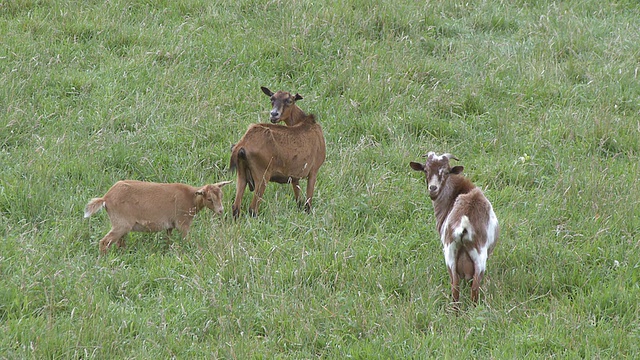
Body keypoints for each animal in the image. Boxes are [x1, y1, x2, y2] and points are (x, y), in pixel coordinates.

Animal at [84, 179, 231, 253]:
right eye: (210, 199)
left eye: (221, 195)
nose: (221, 211)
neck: (191, 198)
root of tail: (105, 198)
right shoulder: (183, 222)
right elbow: (186, 239)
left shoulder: (170, 226)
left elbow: (168, 239)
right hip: (121, 223)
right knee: (104, 242)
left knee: (120, 243)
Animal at [229, 86, 324, 218]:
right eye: (271, 99)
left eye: (289, 100)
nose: (274, 114)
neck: (304, 122)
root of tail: (242, 145)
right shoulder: (314, 170)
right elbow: (307, 203)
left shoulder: (294, 176)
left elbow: (299, 200)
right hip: (262, 175)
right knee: (253, 209)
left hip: (241, 173)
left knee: (236, 207)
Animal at [410, 153, 500, 306]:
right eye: (425, 170)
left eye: (446, 172)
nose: (433, 188)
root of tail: (464, 225)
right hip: (478, 255)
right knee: (472, 287)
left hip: (450, 253)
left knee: (455, 286)